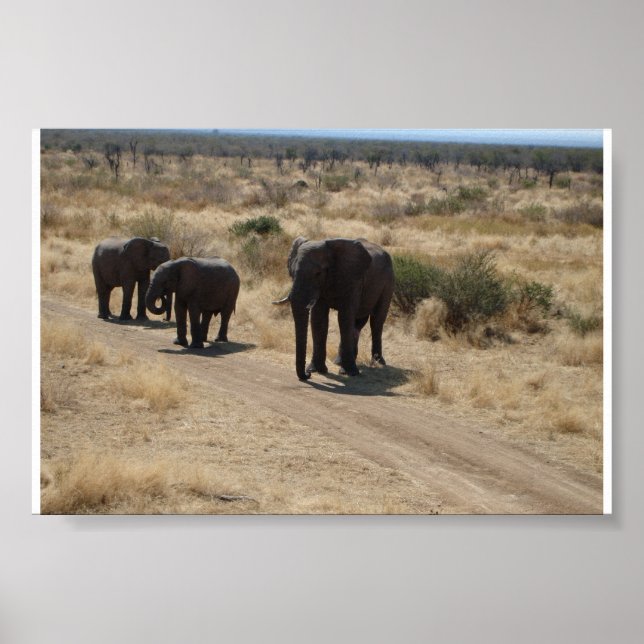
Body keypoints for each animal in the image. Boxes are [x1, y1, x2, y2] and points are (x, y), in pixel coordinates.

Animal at [274, 237, 394, 381]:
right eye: (292, 272)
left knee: (376, 321)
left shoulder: (353, 280)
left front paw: (351, 373)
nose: (307, 376)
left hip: (389, 281)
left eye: (318, 273)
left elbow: (344, 317)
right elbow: (319, 319)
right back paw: (339, 362)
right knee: (357, 324)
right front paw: (316, 370)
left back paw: (377, 362)